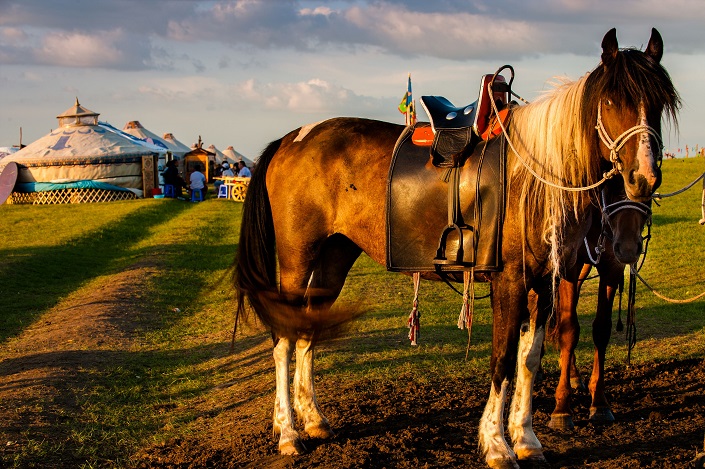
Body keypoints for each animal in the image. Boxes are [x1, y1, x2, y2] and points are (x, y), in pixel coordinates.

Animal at [235, 29, 676, 468]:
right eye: (612, 100)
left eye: (659, 102)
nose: (643, 177)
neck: (536, 176)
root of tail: (292, 139)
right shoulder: (510, 281)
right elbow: (502, 359)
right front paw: (496, 444)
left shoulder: (545, 282)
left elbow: (529, 359)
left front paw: (526, 438)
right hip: (299, 257)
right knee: (284, 338)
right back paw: (288, 433)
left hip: (334, 257)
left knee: (306, 331)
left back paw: (312, 419)